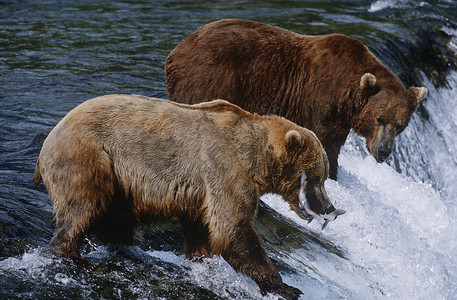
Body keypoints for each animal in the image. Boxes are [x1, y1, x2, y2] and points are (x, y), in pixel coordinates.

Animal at [34, 94, 342, 300]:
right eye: (316, 179)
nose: (329, 207)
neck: (257, 159)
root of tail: (49, 138)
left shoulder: (199, 193)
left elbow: (202, 229)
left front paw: (202, 261)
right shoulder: (224, 168)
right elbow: (233, 228)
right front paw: (286, 286)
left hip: (119, 185)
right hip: (91, 157)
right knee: (83, 207)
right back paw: (74, 257)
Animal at [165, 18, 428, 180]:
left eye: (400, 125)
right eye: (380, 118)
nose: (384, 151)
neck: (347, 95)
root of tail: (177, 49)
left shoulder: (339, 118)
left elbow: (332, 145)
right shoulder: (320, 101)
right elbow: (325, 142)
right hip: (211, 78)